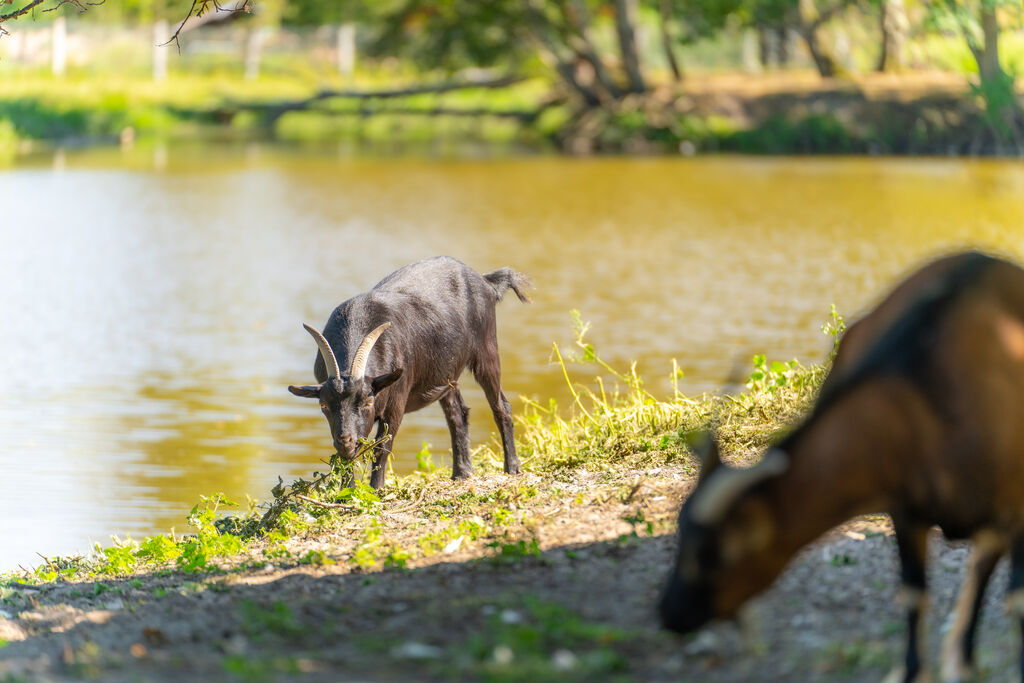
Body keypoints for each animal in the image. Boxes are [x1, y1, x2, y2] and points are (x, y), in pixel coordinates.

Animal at [286, 253, 528, 489]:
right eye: (324, 405)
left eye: (368, 402)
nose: (345, 440)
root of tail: (485, 281)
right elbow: (348, 458)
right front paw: (348, 491)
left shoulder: (397, 402)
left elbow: (382, 447)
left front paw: (376, 490)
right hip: (446, 373)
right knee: (457, 413)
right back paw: (462, 472)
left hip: (487, 351)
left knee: (500, 406)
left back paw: (512, 467)